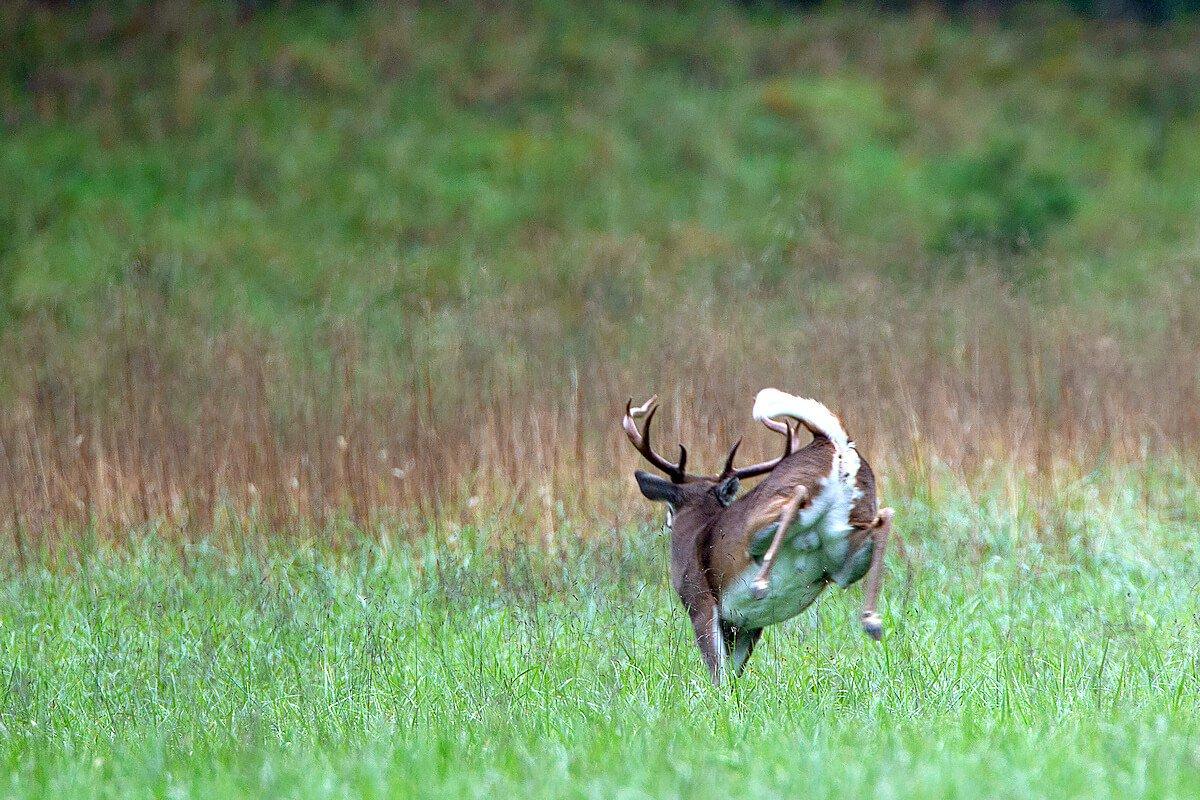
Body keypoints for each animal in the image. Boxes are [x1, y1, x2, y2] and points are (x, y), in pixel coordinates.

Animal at [624, 391, 897, 686]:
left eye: (670, 508)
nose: (667, 522)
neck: (696, 529)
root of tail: (828, 440)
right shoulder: (747, 624)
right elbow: (733, 677)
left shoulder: (699, 602)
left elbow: (718, 674)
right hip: (844, 549)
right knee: (884, 516)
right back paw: (872, 621)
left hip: (763, 525)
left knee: (797, 495)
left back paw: (761, 584)